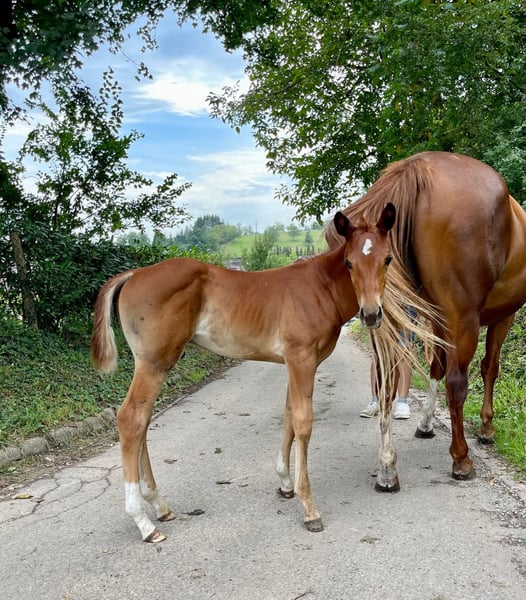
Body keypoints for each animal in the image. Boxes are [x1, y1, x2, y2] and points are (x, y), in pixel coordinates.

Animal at [91, 206, 397, 542]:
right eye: (349, 262)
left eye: (387, 259)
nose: (371, 315)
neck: (320, 287)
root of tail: (135, 274)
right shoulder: (301, 359)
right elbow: (303, 423)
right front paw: (309, 508)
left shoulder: (296, 363)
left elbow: (289, 417)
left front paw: (285, 484)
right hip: (154, 363)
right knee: (131, 418)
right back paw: (144, 523)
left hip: (152, 364)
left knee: (143, 421)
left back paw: (159, 505)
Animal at [326, 151, 526, 492]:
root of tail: (418, 168)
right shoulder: (501, 317)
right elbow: (489, 368)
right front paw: (486, 427)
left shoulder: (436, 319)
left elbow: (435, 366)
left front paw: (426, 423)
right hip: (462, 320)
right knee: (457, 383)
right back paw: (461, 459)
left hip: (386, 318)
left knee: (387, 382)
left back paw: (387, 468)